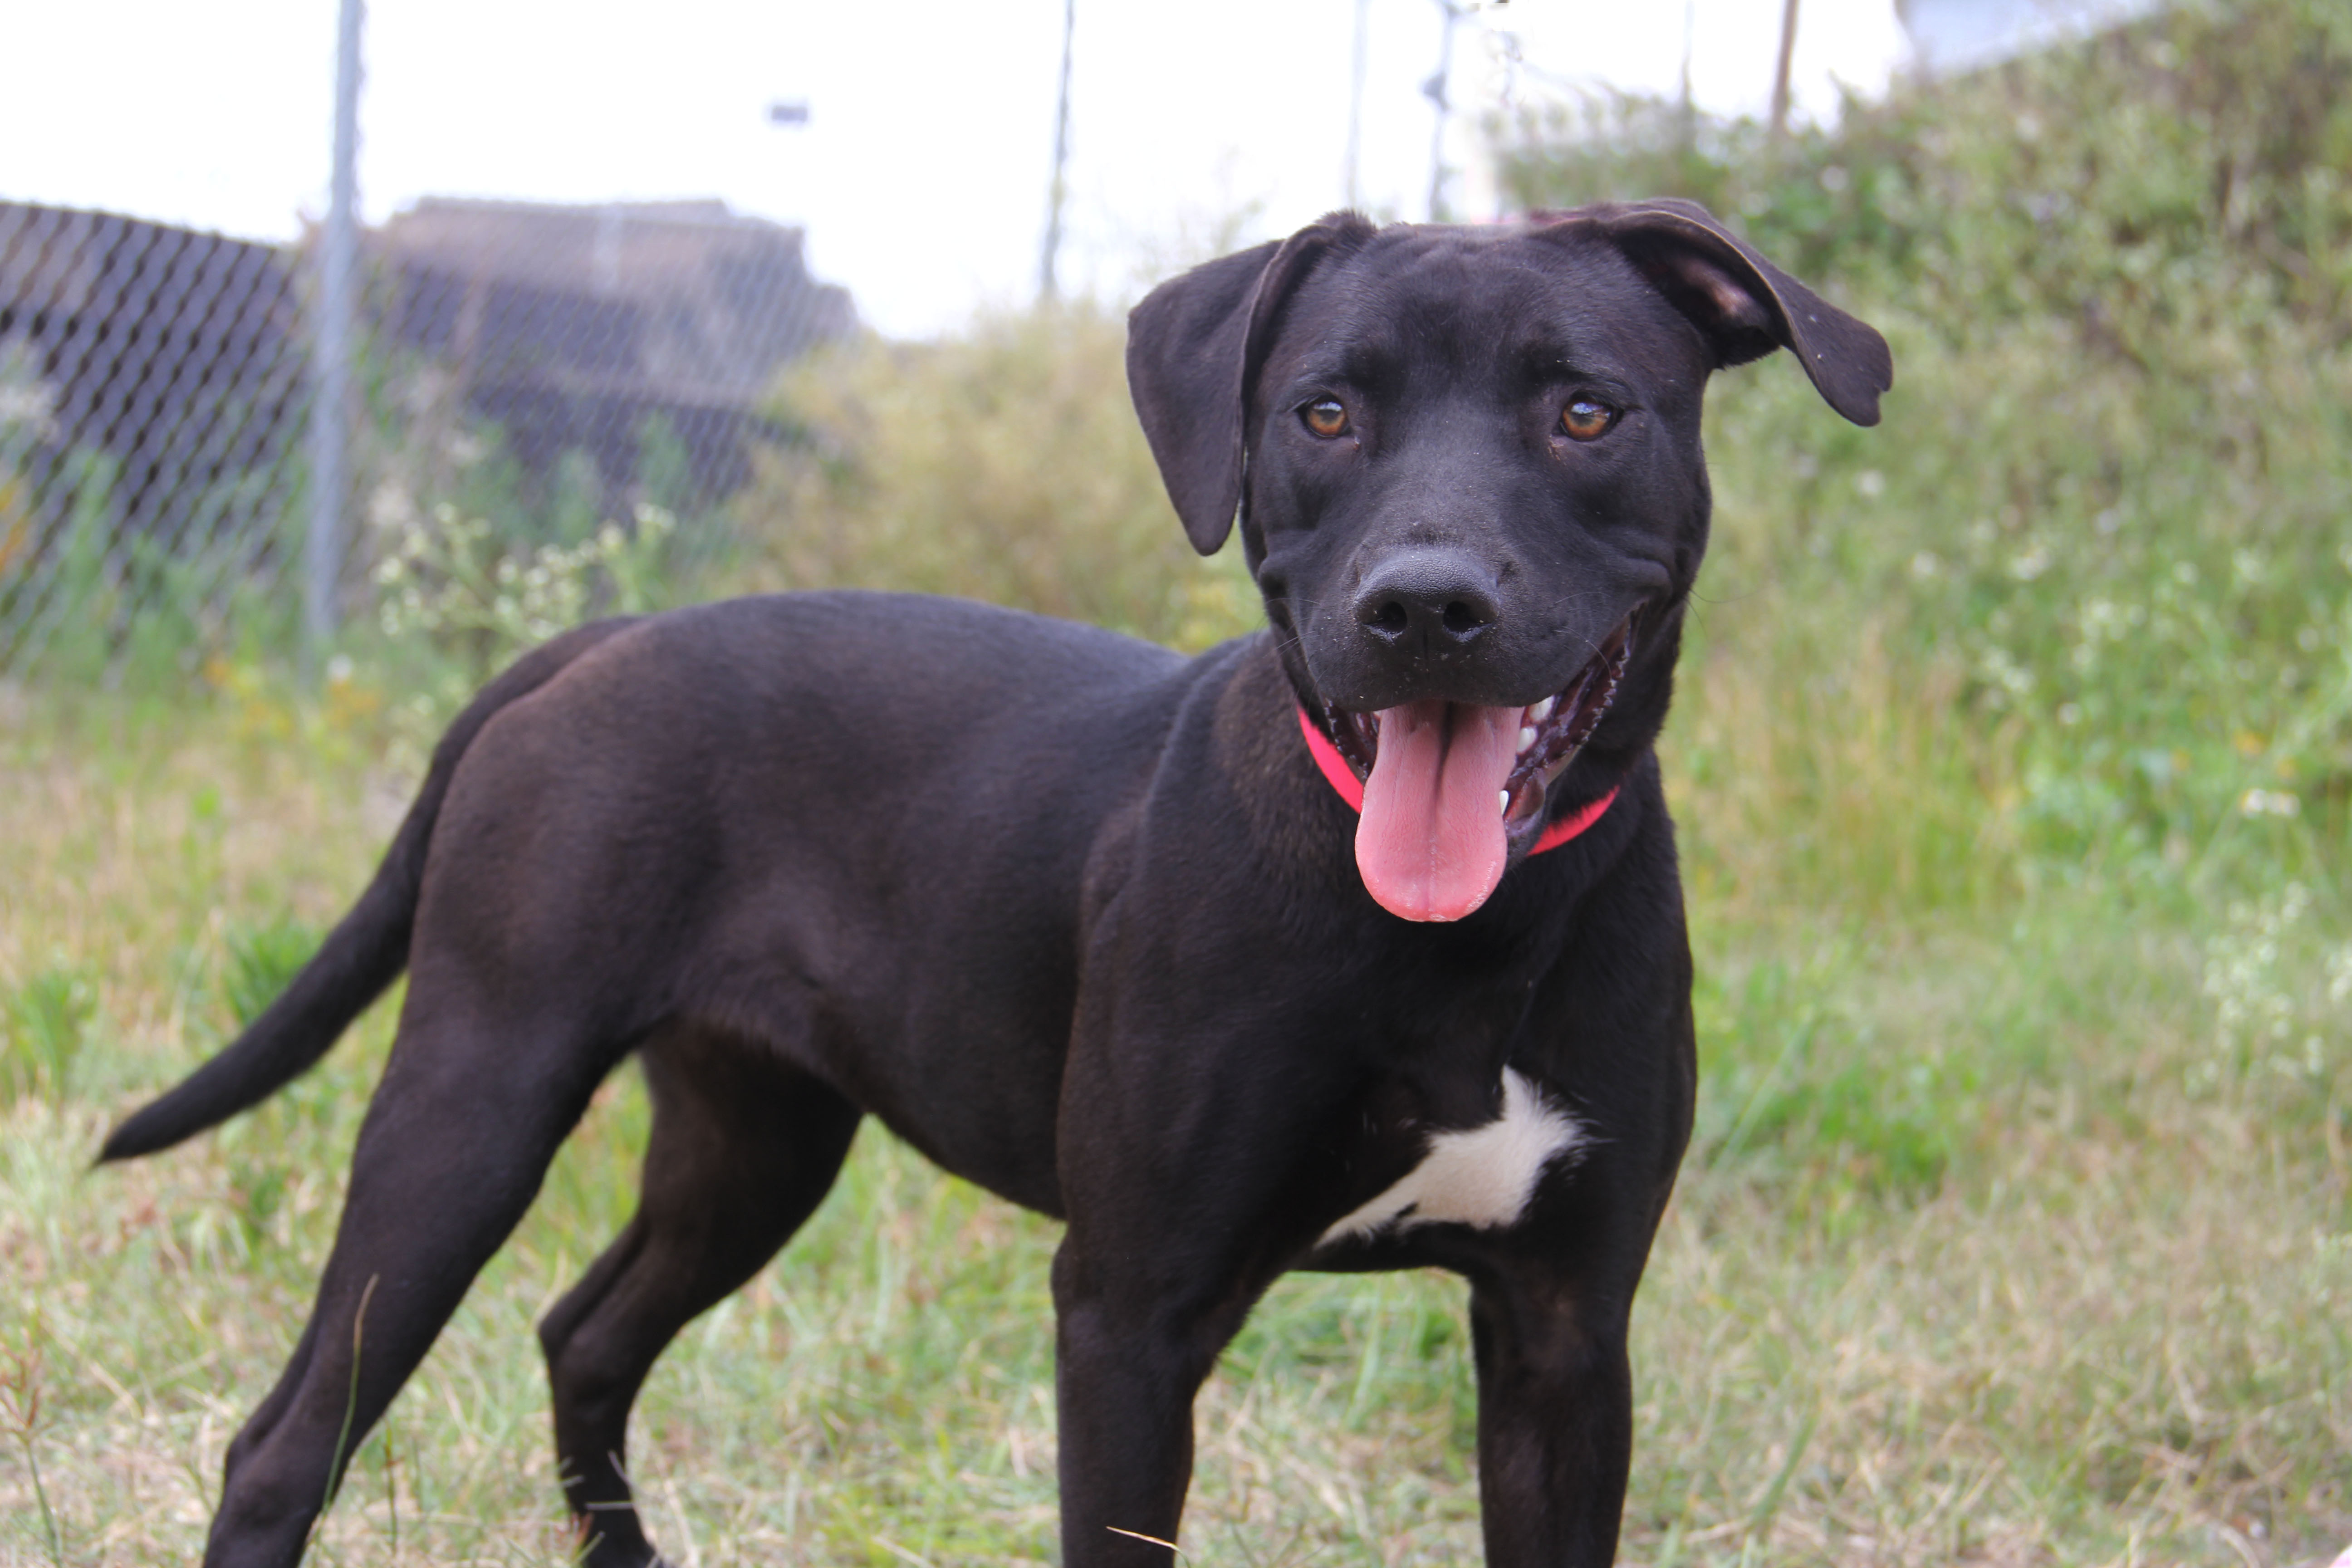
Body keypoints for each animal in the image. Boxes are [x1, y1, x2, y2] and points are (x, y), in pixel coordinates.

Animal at [106, 200, 1891, 1568]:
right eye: (1324, 413)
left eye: (1585, 411)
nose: (1425, 608)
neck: (1460, 941)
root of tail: (604, 634)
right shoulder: (1127, 1317)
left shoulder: (1565, 1339)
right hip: (470, 1110)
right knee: (285, 1442)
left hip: (756, 1141)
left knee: (584, 1336)